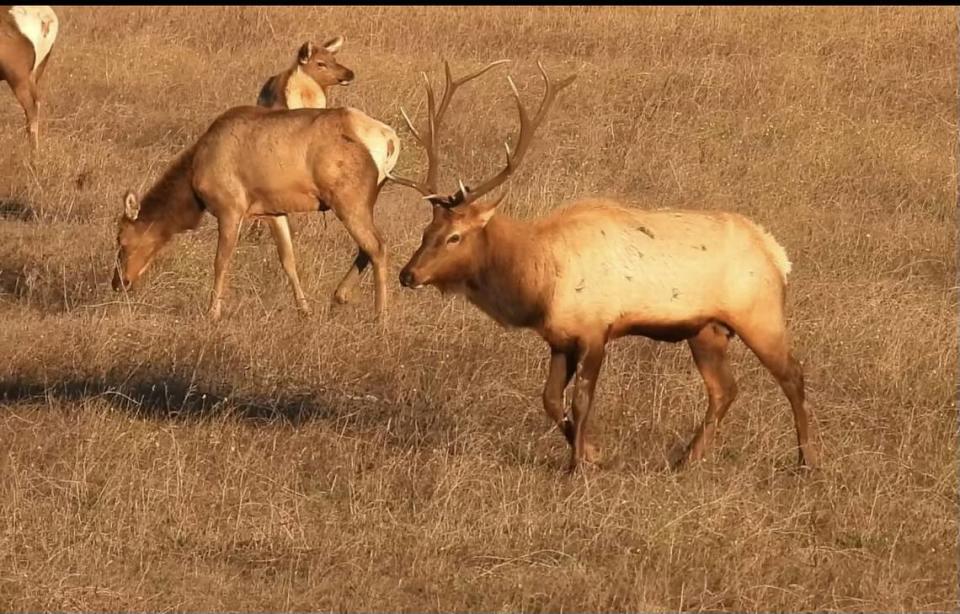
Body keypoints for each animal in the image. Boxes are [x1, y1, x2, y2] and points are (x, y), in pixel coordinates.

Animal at [390, 63, 816, 476]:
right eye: (427, 231)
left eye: (455, 237)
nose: (407, 274)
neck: (539, 282)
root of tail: (777, 254)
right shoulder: (560, 337)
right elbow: (549, 399)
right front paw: (594, 454)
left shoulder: (596, 329)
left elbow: (581, 400)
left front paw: (578, 466)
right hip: (706, 330)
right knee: (724, 389)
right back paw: (686, 459)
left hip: (759, 314)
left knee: (792, 375)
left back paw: (806, 460)